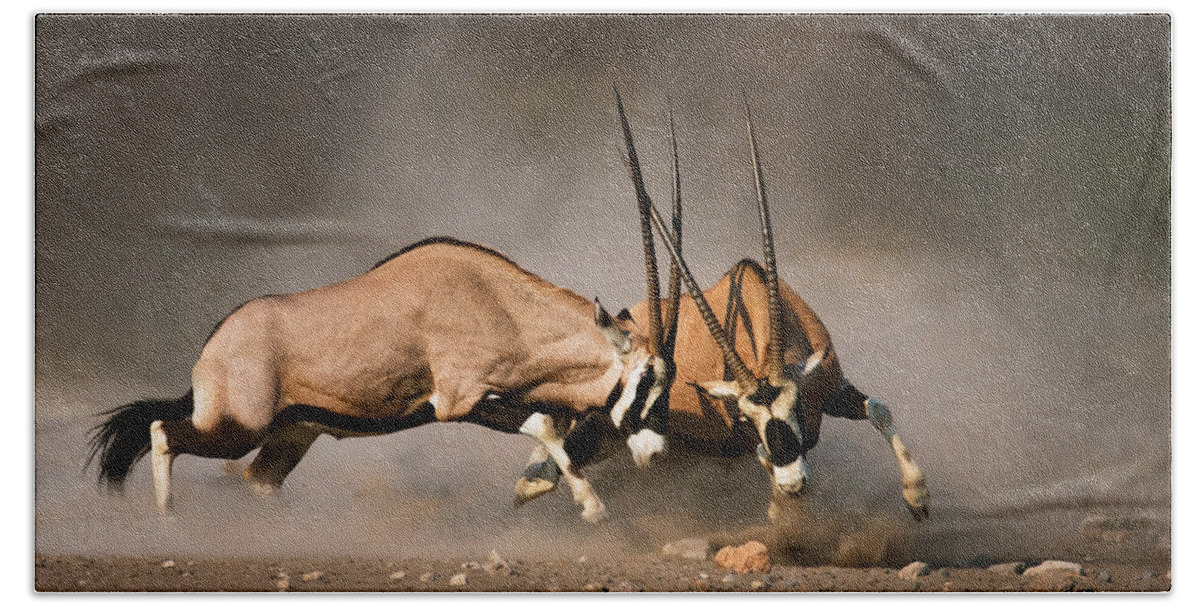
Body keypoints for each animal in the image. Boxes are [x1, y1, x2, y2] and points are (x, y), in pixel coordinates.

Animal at [87, 235, 681, 520]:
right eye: (646, 379)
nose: (656, 453)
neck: (498, 304)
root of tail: (213, 348)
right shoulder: (459, 401)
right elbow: (543, 425)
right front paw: (592, 507)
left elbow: (551, 427)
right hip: (235, 429)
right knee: (163, 433)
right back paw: (169, 525)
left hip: (289, 435)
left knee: (258, 481)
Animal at [513, 94, 926, 522]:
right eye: (746, 416)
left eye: (796, 403)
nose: (793, 483)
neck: (760, 311)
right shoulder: (750, 440)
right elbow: (765, 458)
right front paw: (783, 517)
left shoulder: (832, 389)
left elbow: (878, 409)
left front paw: (917, 497)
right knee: (549, 463)